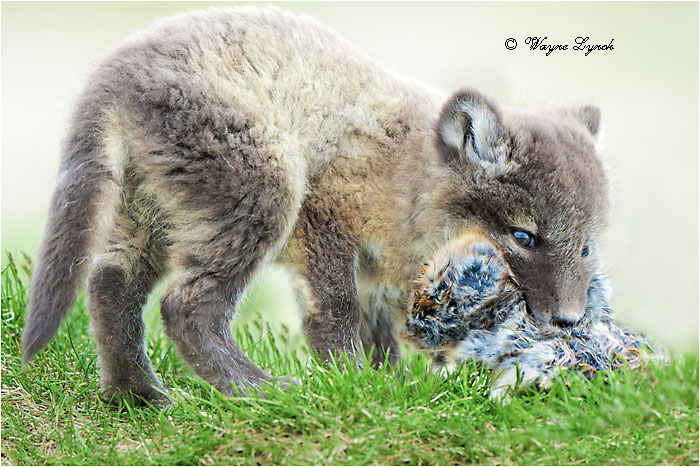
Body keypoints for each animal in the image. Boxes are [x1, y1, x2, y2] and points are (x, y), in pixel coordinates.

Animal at [21, 6, 610, 404]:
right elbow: (338, 314)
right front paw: (353, 384)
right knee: (185, 305)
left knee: (109, 286)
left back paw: (138, 395)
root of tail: (111, 78)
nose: (568, 321)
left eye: (586, 248)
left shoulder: (378, 271)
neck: (410, 178)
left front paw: (391, 388)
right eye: (524, 236)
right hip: (265, 193)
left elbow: (380, 335)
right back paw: (258, 391)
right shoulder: (324, 216)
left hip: (151, 218)